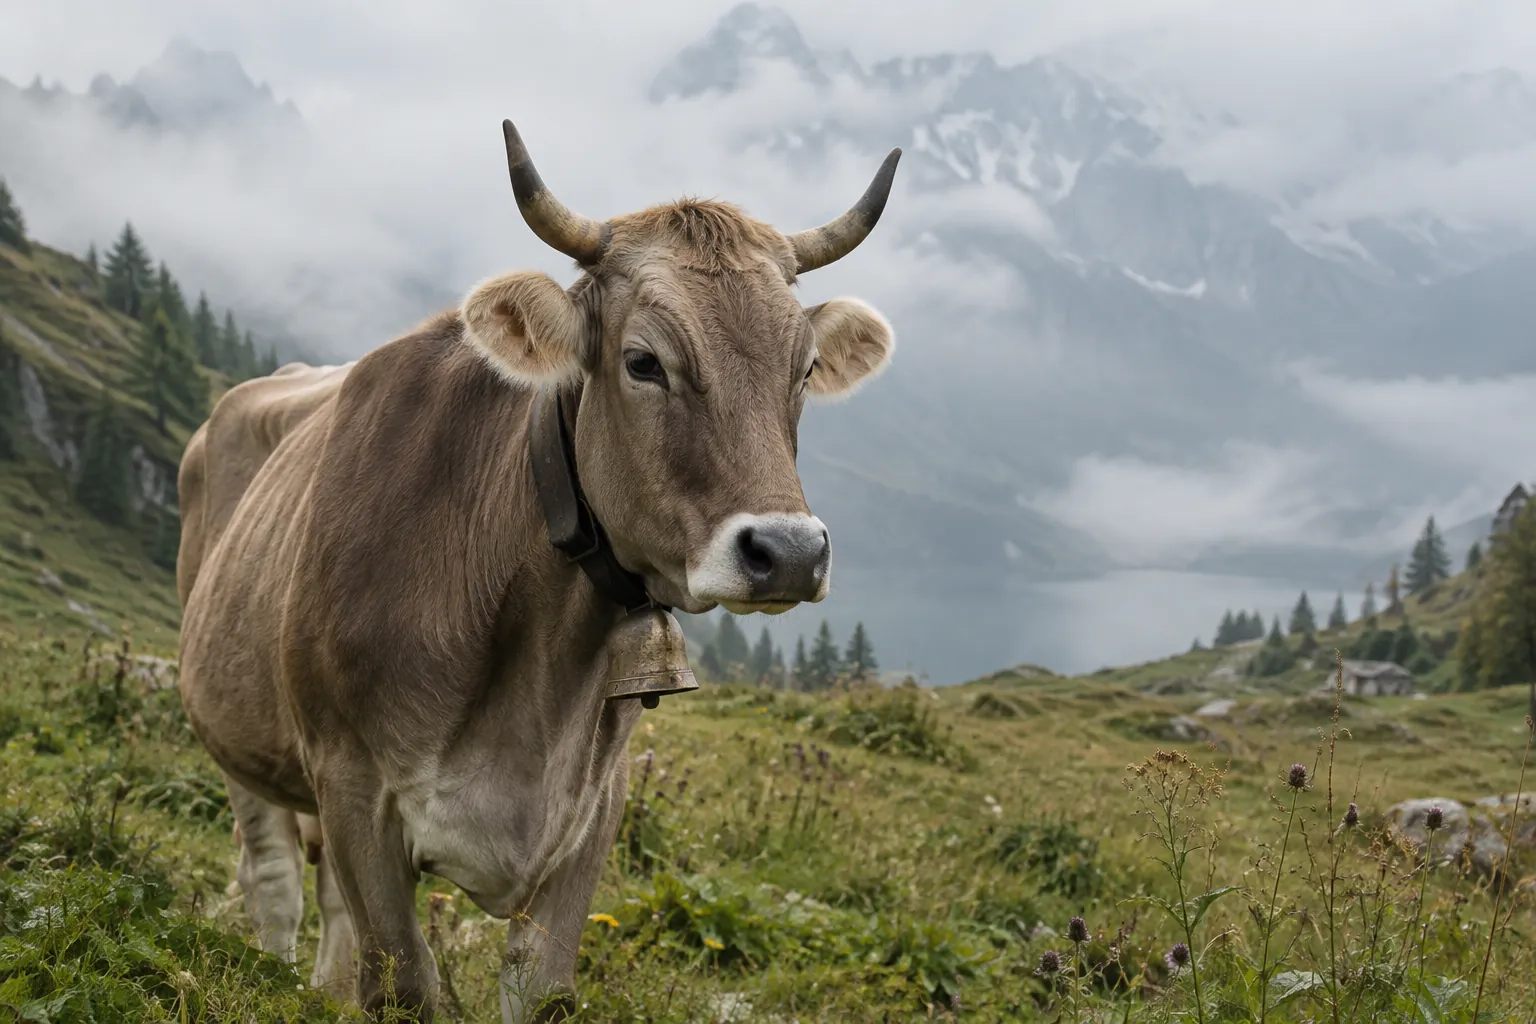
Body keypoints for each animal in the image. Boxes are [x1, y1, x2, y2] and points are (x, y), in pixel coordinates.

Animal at [175, 119, 901, 1022]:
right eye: (643, 362)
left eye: (802, 369)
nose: (789, 553)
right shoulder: (350, 779)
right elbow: (405, 984)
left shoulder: (592, 810)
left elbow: (541, 990)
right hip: (235, 734)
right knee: (272, 878)